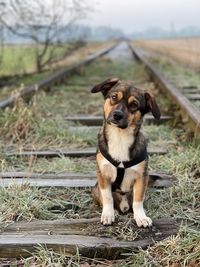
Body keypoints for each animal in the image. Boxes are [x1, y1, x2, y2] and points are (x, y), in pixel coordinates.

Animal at [91, 77, 160, 228]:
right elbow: (107, 197)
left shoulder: (141, 176)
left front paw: (141, 217)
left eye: (134, 105)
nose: (117, 115)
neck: (120, 137)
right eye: (113, 97)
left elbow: (138, 200)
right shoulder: (103, 174)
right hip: (95, 189)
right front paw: (108, 214)